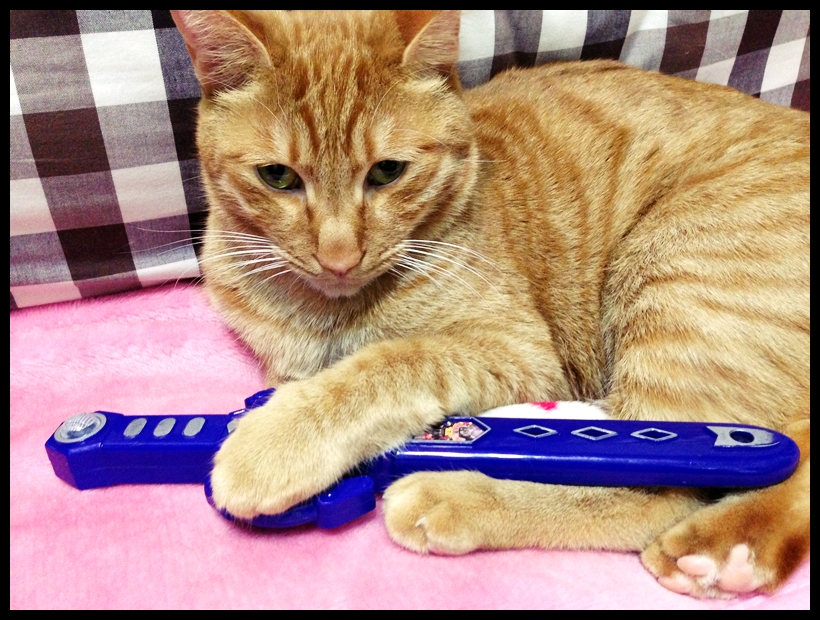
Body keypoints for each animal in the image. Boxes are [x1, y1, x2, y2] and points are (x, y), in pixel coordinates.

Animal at [171, 10, 810, 598]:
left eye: (388, 172)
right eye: (277, 177)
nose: (339, 255)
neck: (327, 310)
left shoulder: (522, 351)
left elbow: (386, 364)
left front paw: (273, 440)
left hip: (680, 282)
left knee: (662, 486)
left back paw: (457, 495)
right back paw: (737, 548)